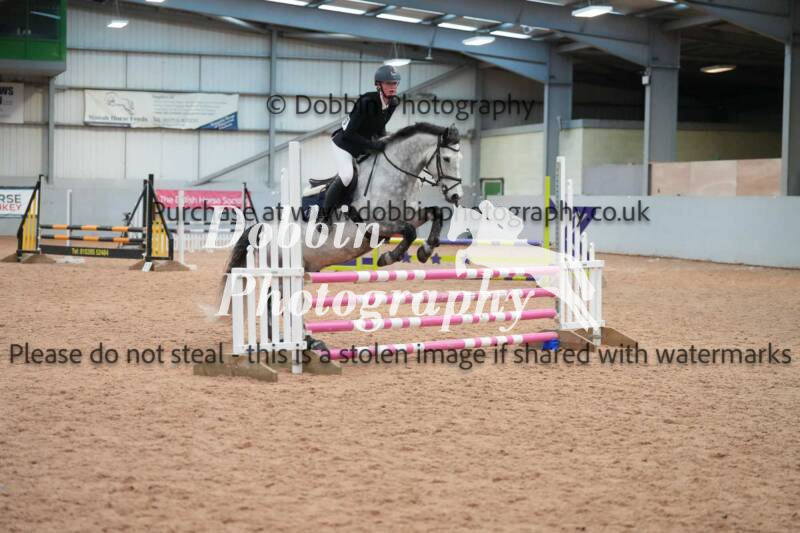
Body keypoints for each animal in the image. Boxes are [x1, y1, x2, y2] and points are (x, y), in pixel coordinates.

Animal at [225, 122, 464, 273]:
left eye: (460, 158)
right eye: (446, 158)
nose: (456, 195)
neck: (392, 175)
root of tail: (262, 227)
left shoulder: (410, 215)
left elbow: (435, 213)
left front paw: (425, 250)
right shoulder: (376, 225)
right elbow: (409, 232)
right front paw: (388, 257)